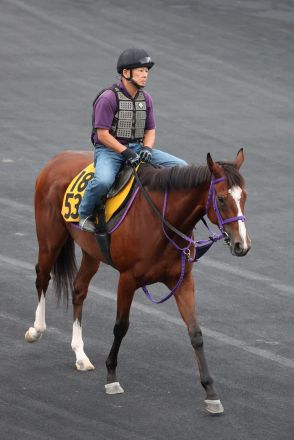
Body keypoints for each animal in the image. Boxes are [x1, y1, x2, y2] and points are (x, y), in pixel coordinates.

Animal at [24, 150, 250, 414]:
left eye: (244, 196)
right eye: (222, 199)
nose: (242, 245)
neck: (162, 223)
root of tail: (57, 159)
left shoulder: (183, 281)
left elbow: (195, 333)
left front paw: (211, 393)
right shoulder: (127, 278)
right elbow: (121, 327)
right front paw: (111, 377)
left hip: (91, 252)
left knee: (79, 289)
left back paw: (80, 354)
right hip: (50, 239)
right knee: (42, 277)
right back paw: (36, 330)